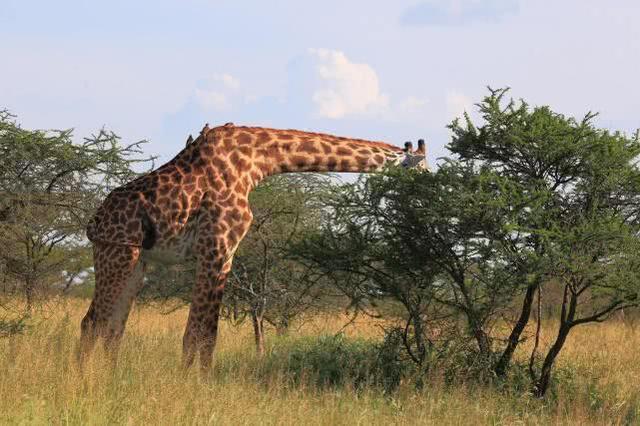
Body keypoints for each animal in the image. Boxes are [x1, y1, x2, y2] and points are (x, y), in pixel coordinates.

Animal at [81, 121, 430, 372]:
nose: (429, 194)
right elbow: (201, 335)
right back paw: (85, 381)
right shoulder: (217, 246)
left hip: (138, 262)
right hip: (117, 252)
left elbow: (200, 334)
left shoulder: (221, 252)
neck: (257, 162)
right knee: (92, 323)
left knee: (112, 329)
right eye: (425, 169)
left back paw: (110, 379)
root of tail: (93, 223)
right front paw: (194, 388)